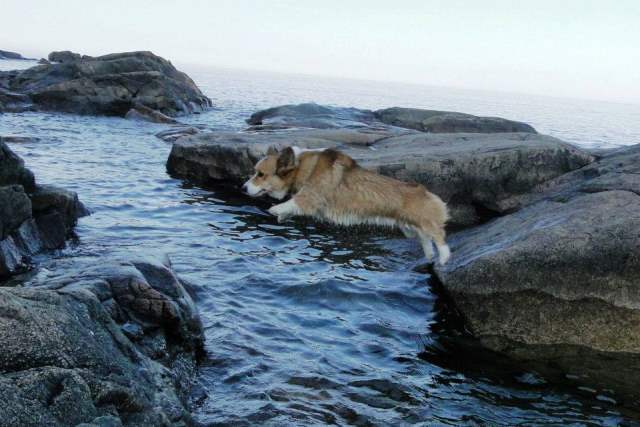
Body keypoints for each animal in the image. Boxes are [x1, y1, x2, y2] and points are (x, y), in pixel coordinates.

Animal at [241, 147, 450, 264]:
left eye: (261, 174)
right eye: (255, 172)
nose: (243, 188)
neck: (301, 167)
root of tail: (427, 193)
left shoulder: (310, 197)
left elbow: (292, 202)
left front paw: (274, 210)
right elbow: (291, 207)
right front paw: (282, 216)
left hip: (425, 223)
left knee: (439, 237)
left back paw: (444, 258)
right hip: (410, 227)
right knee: (425, 239)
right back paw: (430, 256)